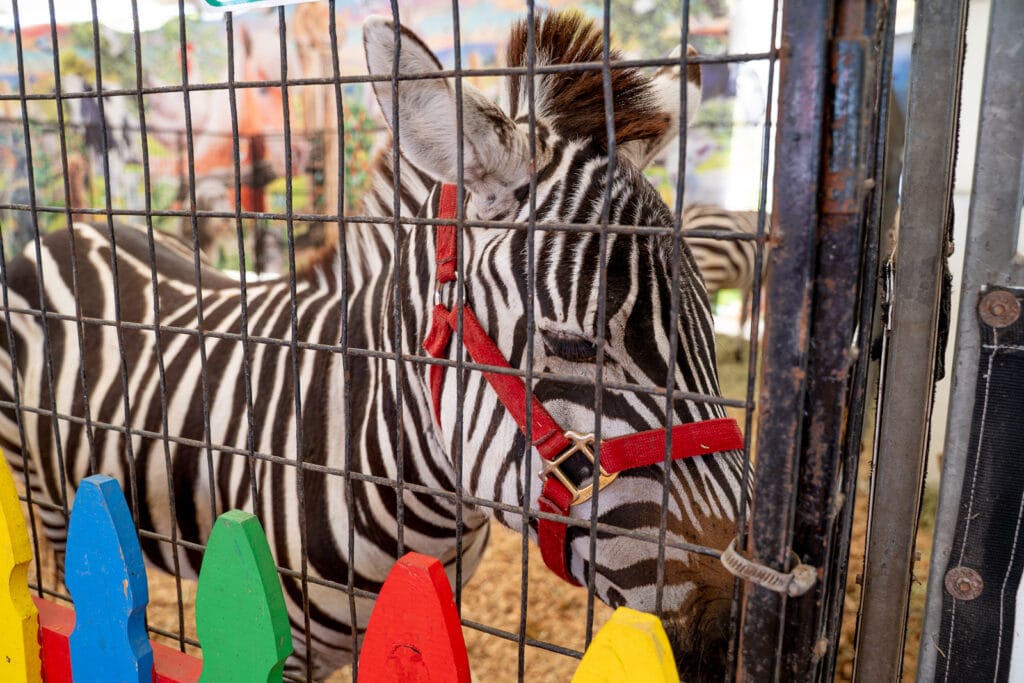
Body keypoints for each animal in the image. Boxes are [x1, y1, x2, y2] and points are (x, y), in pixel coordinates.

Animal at [0, 10, 747, 680]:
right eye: (573, 344)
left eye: (709, 330)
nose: (742, 630)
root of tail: (67, 228)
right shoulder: (276, 645)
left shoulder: (402, 627)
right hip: (47, 495)